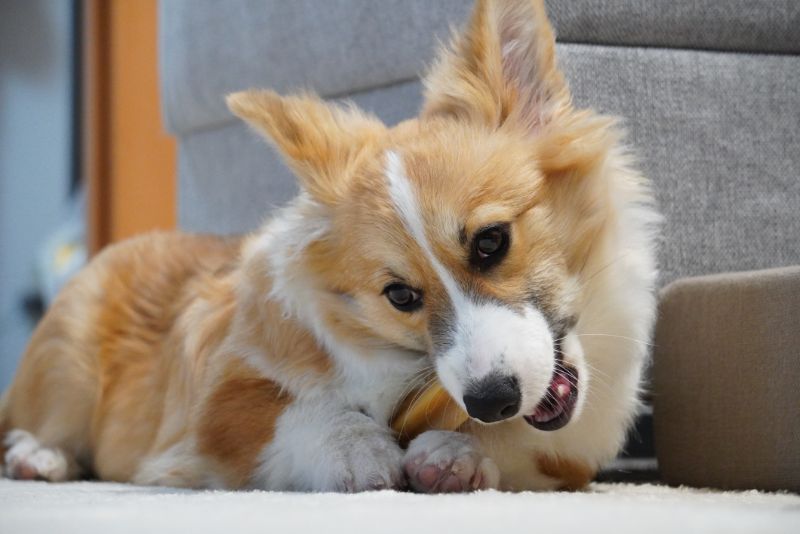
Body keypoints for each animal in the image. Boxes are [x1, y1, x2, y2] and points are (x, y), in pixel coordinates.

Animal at [0, 0, 656, 494]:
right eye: (400, 295)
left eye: (492, 241)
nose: (491, 400)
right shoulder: (221, 401)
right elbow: (300, 411)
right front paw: (361, 450)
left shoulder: (565, 461)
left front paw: (457, 452)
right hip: (70, 358)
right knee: (47, 423)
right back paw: (38, 457)